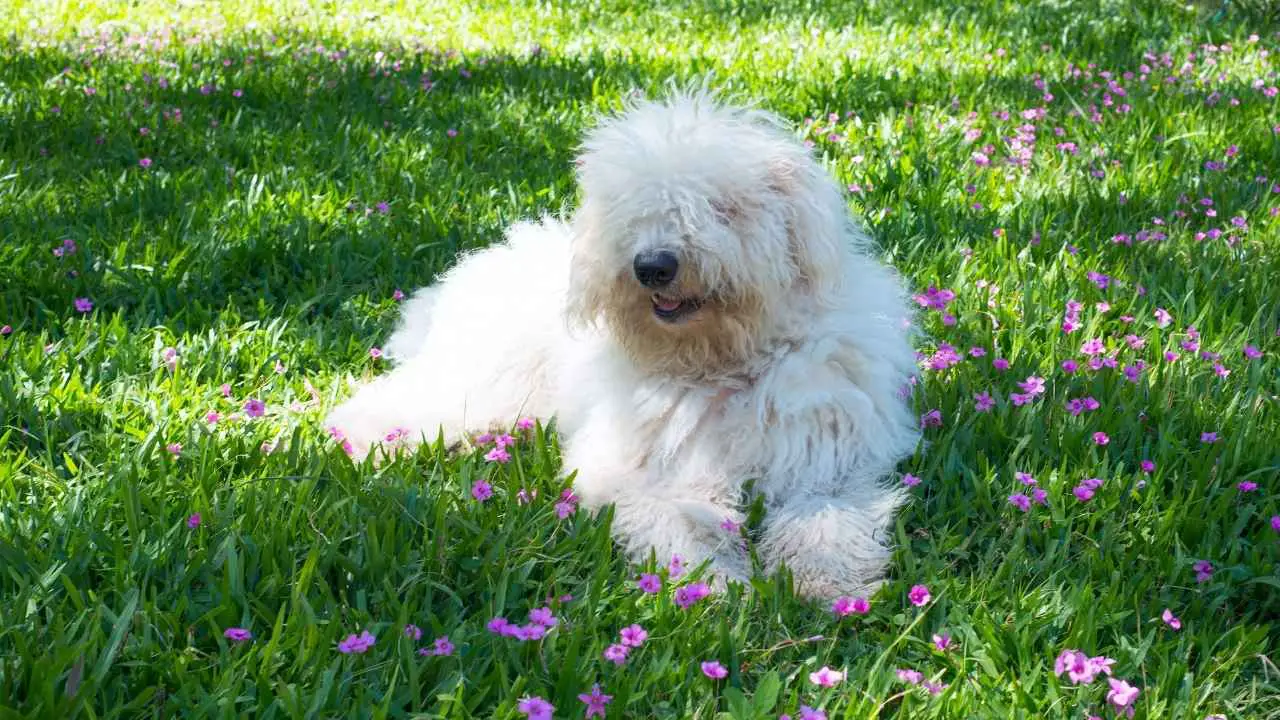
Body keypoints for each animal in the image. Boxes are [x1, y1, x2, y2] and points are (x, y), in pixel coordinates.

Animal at [322, 88, 921, 594]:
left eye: (721, 207)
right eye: (635, 211)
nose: (653, 265)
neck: (720, 364)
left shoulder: (830, 462)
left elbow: (826, 517)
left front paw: (821, 582)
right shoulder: (634, 471)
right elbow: (675, 519)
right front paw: (715, 585)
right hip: (474, 386)